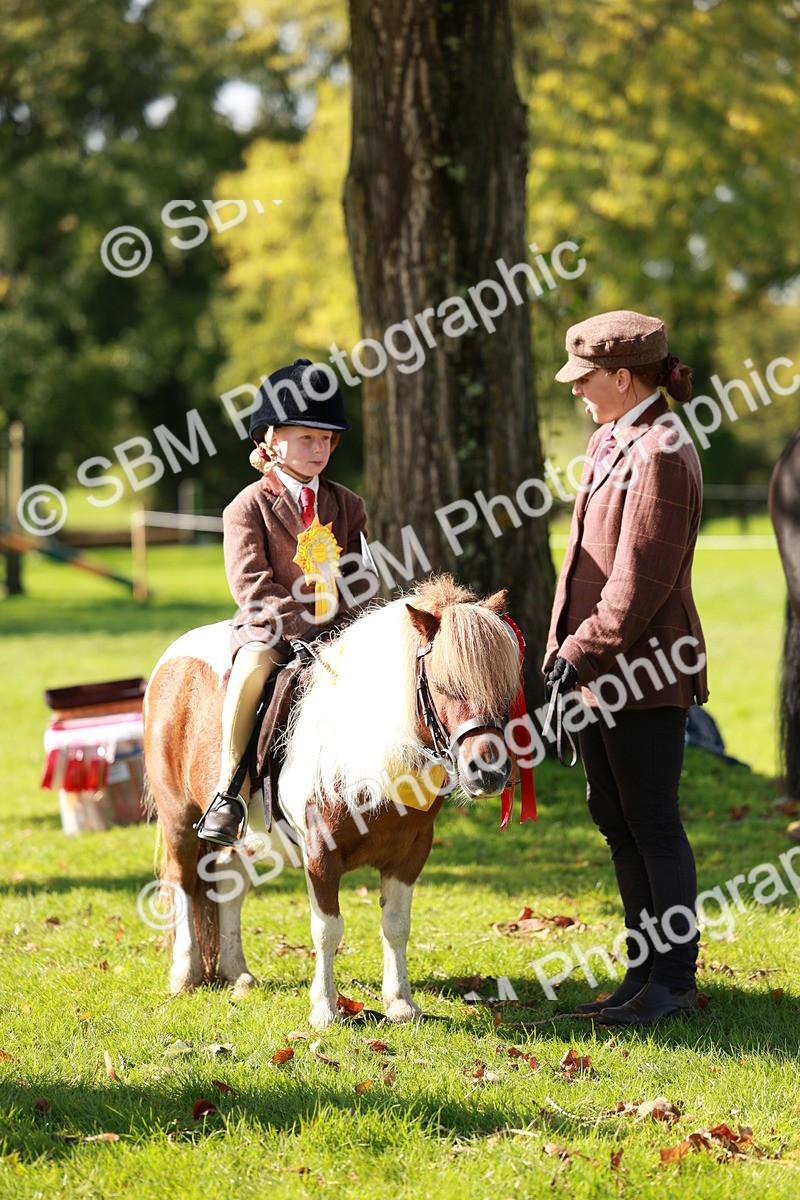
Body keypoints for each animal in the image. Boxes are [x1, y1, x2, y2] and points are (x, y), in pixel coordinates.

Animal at [143, 575, 520, 1029]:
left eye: (505, 686)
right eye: (445, 685)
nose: (490, 773)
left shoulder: (412, 851)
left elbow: (397, 925)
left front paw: (401, 1004)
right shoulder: (321, 854)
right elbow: (327, 929)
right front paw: (325, 1009)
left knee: (229, 884)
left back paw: (238, 973)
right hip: (178, 818)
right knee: (182, 883)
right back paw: (185, 974)